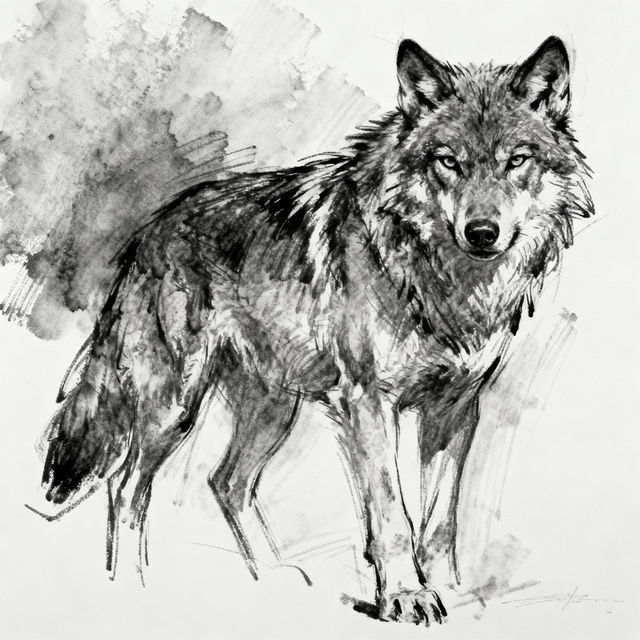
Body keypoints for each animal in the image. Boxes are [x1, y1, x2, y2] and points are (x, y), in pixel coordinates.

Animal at [35, 36, 593, 624]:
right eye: (448, 162)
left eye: (517, 161)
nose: (483, 232)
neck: (443, 282)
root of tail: (151, 229)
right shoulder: (370, 401)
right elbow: (391, 513)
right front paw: (405, 594)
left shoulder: (456, 408)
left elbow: (440, 520)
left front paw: (451, 591)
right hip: (174, 407)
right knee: (125, 489)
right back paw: (134, 585)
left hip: (273, 410)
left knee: (226, 483)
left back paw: (274, 578)